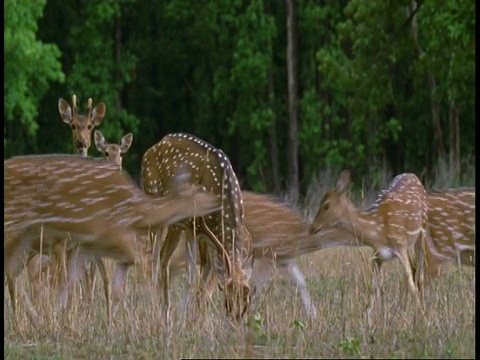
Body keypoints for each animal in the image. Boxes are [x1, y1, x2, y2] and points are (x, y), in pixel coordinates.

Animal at [141, 133, 255, 324]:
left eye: (247, 303)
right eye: (228, 302)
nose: (234, 323)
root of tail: (152, 148)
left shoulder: (208, 240)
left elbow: (204, 282)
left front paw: (199, 319)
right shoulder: (192, 226)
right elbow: (191, 275)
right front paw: (184, 320)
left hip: (175, 227)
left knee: (164, 258)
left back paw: (165, 312)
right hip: (154, 203)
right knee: (154, 259)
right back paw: (154, 311)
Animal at [308, 170, 428, 314]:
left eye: (327, 205)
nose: (312, 228)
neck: (378, 231)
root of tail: (413, 175)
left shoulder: (400, 246)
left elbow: (411, 286)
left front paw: (422, 314)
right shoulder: (378, 254)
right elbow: (372, 288)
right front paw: (367, 315)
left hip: (422, 231)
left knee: (419, 273)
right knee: (412, 271)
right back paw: (402, 307)